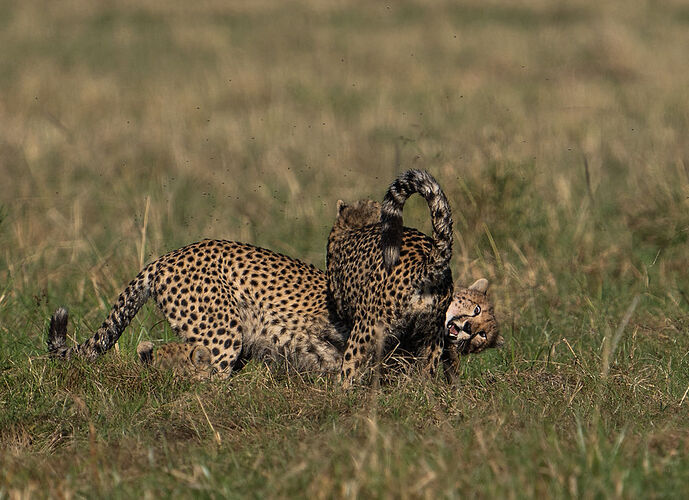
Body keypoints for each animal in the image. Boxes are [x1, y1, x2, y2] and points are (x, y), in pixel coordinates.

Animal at [330, 170, 456, 384]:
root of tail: (423, 263)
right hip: (433, 332)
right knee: (428, 370)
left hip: (367, 325)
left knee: (350, 364)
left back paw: (338, 388)